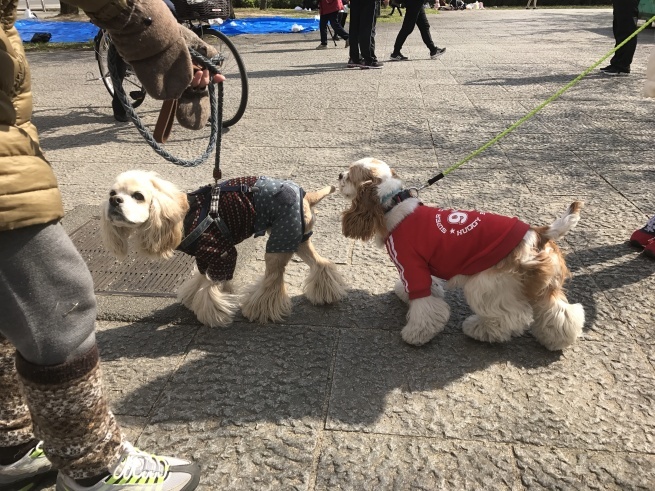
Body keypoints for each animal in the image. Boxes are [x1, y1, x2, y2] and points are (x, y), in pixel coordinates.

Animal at [101, 171, 348, 328]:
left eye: (138, 196)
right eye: (112, 192)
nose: (114, 201)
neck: (184, 215)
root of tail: (306, 195)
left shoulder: (222, 253)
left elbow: (211, 286)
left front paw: (213, 312)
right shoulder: (204, 257)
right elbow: (202, 279)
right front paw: (197, 297)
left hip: (280, 241)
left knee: (273, 279)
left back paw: (259, 310)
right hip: (296, 237)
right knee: (321, 264)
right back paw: (325, 294)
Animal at [338, 159, 584, 350]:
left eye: (350, 175)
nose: (339, 174)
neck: (392, 204)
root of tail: (539, 232)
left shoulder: (411, 264)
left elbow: (425, 306)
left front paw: (416, 333)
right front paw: (406, 293)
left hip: (487, 284)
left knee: (510, 317)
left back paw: (479, 329)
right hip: (543, 286)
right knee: (562, 313)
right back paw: (557, 341)